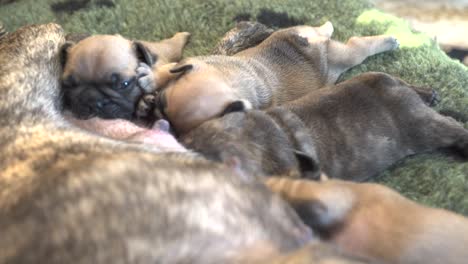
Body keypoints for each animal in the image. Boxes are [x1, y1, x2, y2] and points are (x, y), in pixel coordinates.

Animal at [145, 21, 398, 134]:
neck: (230, 78)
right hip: (299, 32)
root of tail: (307, 42)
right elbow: (169, 69)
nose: (157, 116)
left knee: (357, 46)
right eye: (161, 101)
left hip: (342, 58)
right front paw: (150, 78)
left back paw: (389, 40)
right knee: (323, 30)